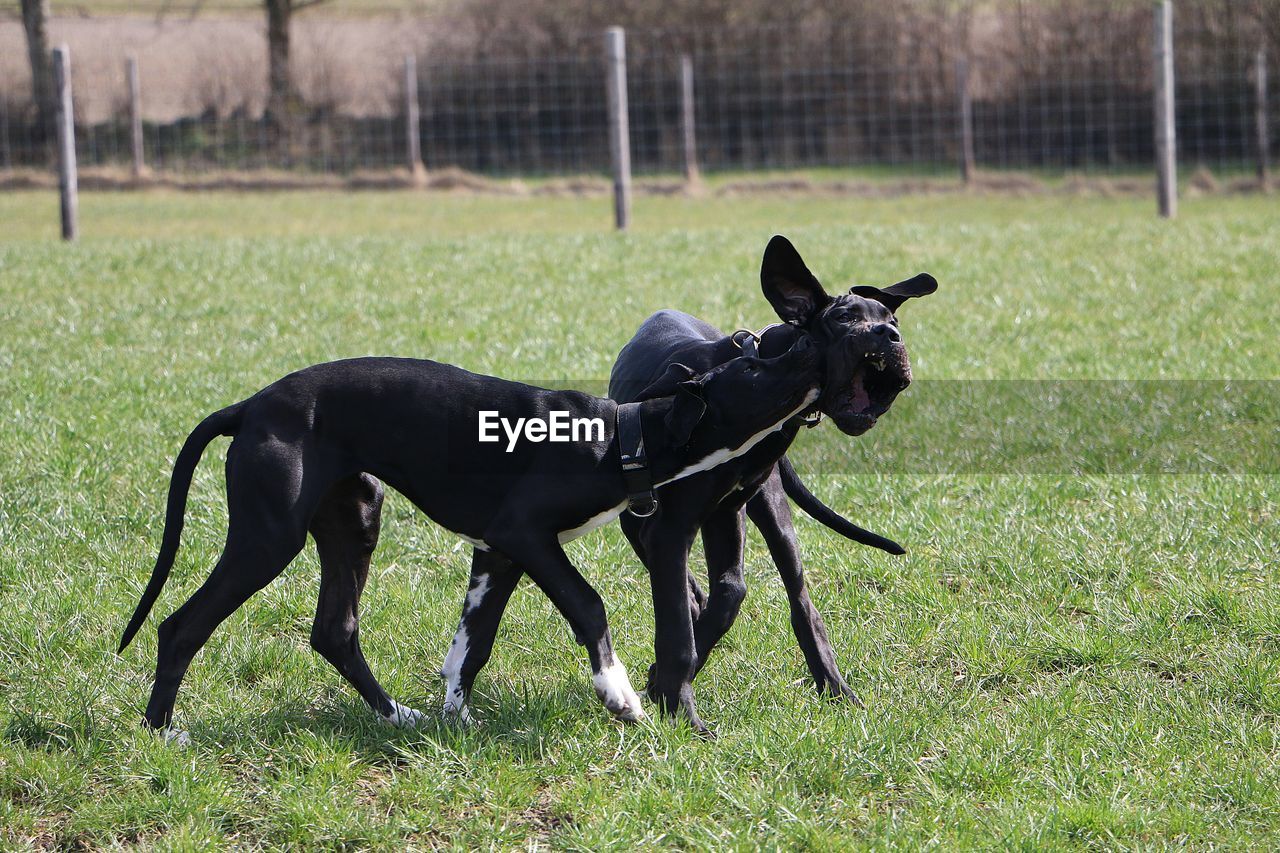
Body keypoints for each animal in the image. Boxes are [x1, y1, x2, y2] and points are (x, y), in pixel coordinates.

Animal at [120, 343, 819, 732]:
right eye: (753, 367)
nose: (808, 350)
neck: (623, 438)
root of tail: (251, 405)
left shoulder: (498, 554)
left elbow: (472, 645)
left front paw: (455, 717)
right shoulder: (523, 534)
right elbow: (589, 603)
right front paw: (619, 693)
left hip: (355, 520)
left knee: (334, 632)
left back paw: (397, 717)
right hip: (269, 537)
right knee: (179, 626)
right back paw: (161, 734)